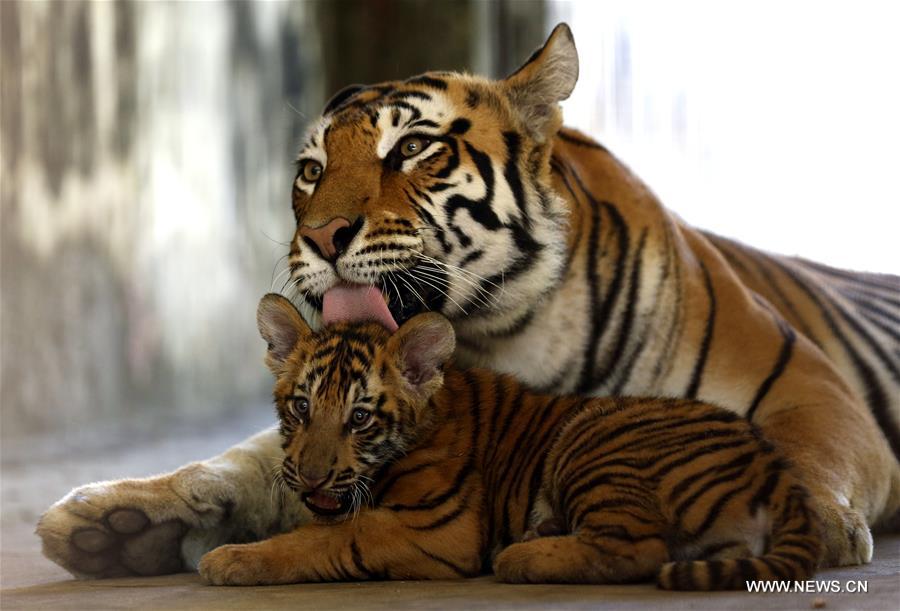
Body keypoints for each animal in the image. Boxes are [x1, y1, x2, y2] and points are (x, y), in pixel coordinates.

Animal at [37, 23, 900, 580]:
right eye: (311, 170)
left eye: (413, 147)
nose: (318, 235)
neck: (506, 330)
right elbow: (253, 457)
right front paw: (119, 518)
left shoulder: (810, 385)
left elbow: (805, 447)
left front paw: (818, 523)